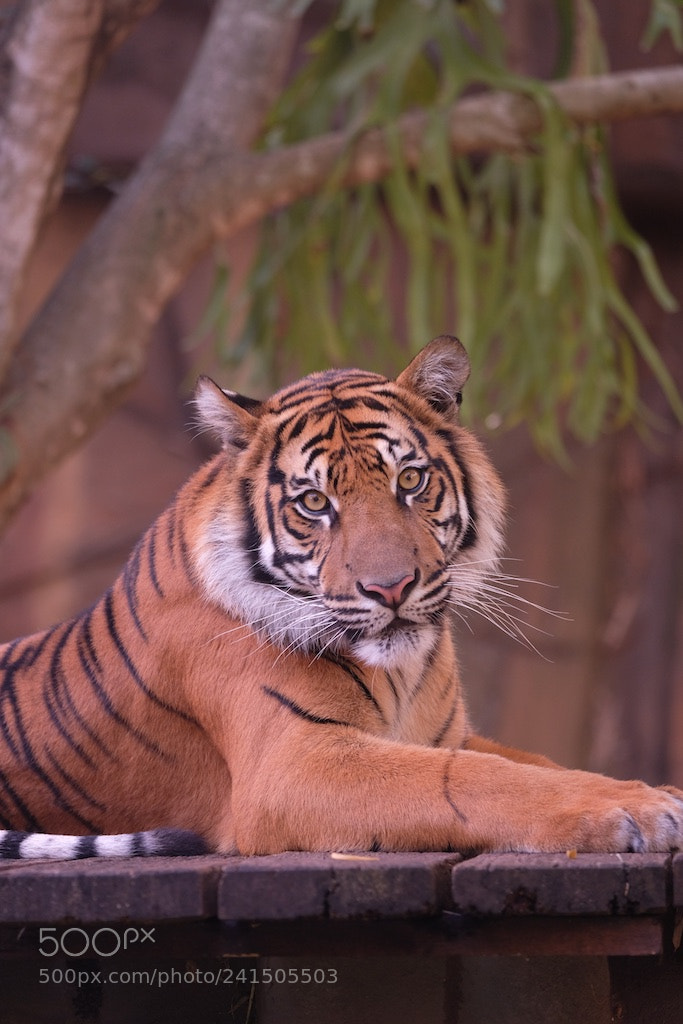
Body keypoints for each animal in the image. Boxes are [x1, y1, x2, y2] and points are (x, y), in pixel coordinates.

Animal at [1, 335, 682, 860]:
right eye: (313, 502)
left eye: (410, 480)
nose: (391, 587)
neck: (403, 673)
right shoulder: (296, 763)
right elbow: (474, 779)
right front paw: (640, 808)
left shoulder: (448, 734)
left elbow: (538, 761)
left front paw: (656, 793)